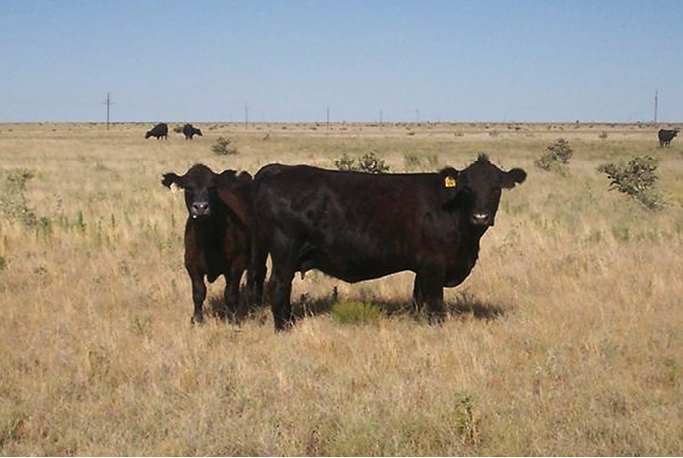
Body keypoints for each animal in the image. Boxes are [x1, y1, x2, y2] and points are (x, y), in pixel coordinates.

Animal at [163, 163, 254, 324]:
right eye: (188, 187)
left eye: (212, 187)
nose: (200, 207)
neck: (208, 239)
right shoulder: (190, 263)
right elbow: (199, 292)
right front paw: (197, 319)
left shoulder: (237, 263)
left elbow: (230, 293)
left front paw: (233, 319)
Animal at [251, 154, 528, 330]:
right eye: (467, 188)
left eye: (496, 188)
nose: (480, 216)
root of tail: (278, 169)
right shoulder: (434, 264)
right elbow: (435, 302)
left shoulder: (423, 268)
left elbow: (419, 298)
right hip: (285, 249)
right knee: (278, 285)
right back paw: (284, 327)